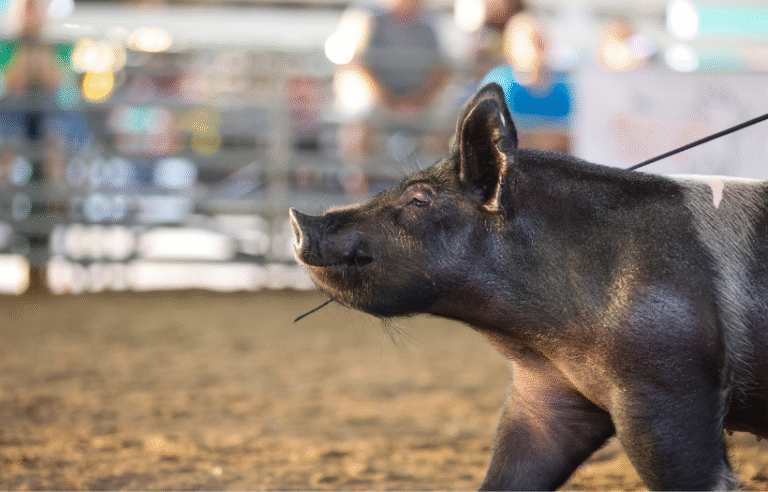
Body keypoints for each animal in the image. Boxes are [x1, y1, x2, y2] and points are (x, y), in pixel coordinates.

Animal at [289, 83, 768, 491]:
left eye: (419, 199)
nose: (299, 219)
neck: (543, 339)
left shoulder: (668, 385)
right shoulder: (546, 397)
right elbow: (508, 475)